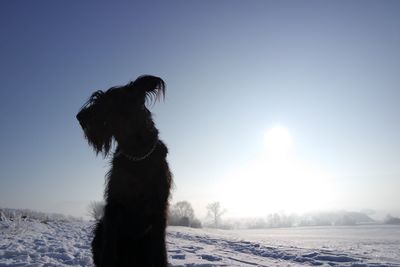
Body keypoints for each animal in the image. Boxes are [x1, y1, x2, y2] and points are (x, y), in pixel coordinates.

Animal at [76, 76, 172, 267]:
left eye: (107, 99)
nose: (79, 117)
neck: (136, 155)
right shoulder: (114, 205)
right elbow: (108, 249)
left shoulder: (159, 210)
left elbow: (160, 254)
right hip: (100, 231)